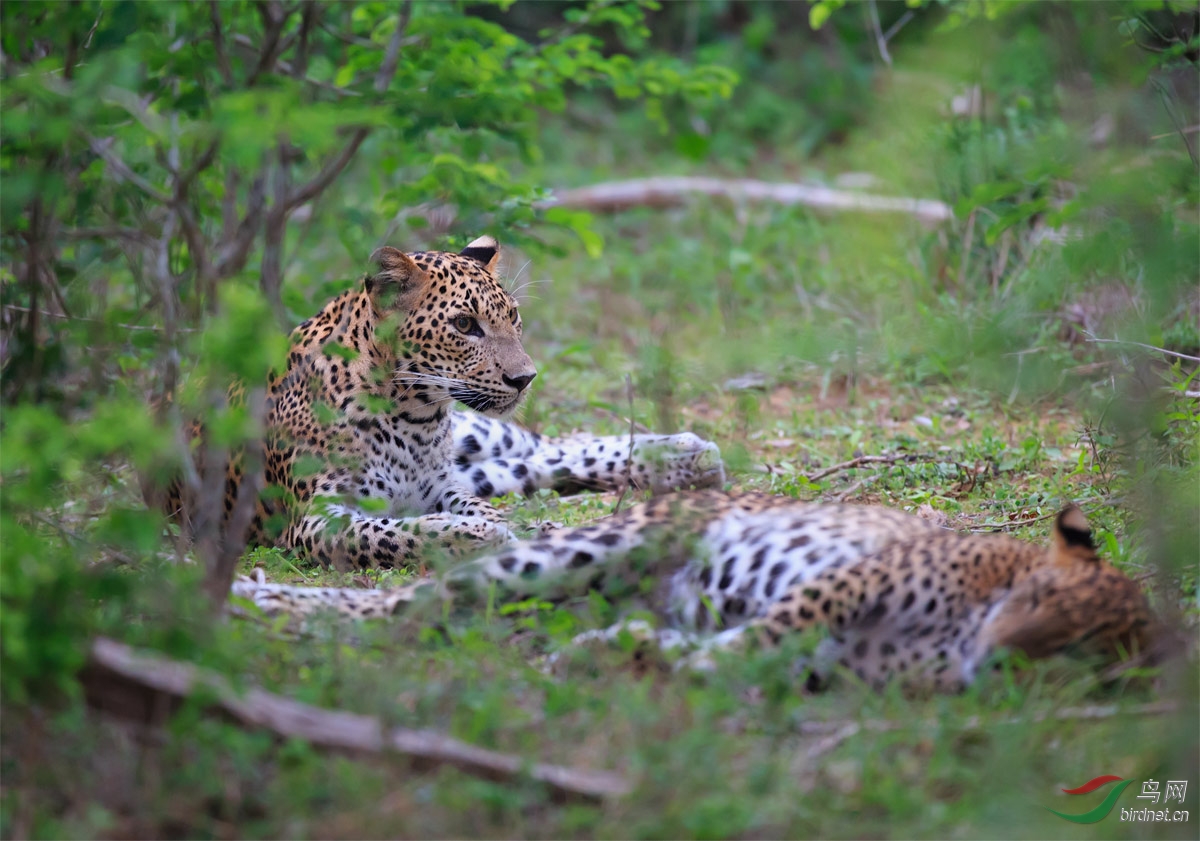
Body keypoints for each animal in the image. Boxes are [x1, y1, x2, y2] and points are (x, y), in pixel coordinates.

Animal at [159, 232, 720, 568]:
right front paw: (485, 534)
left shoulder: (442, 485)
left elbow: (475, 507)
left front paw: (520, 526)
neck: (414, 418)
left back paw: (687, 454)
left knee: (542, 446)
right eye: (465, 325)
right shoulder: (314, 520)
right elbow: (400, 531)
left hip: (481, 431)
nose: (525, 378)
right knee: (530, 464)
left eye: (513, 317)